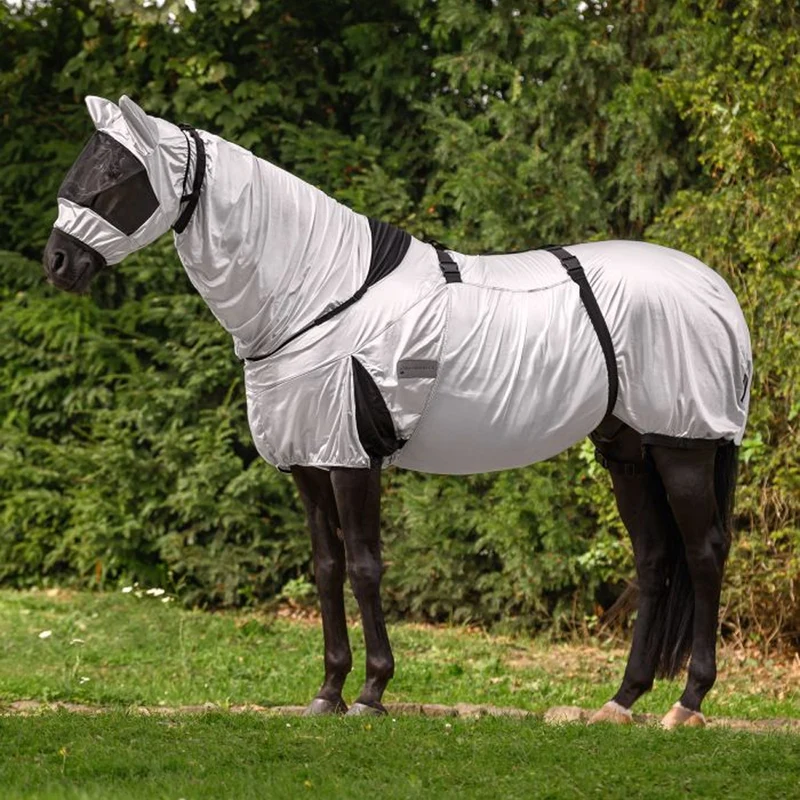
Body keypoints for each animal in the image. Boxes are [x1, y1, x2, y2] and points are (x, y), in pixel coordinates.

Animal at [43, 96, 751, 728]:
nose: (56, 262)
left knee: (704, 552)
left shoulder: (353, 458)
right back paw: (621, 701)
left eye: (120, 177)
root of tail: (715, 289)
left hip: (683, 444)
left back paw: (688, 703)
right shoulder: (308, 461)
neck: (320, 296)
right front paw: (328, 691)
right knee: (655, 557)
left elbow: (364, 567)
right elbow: (327, 569)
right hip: (627, 449)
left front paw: (371, 692)